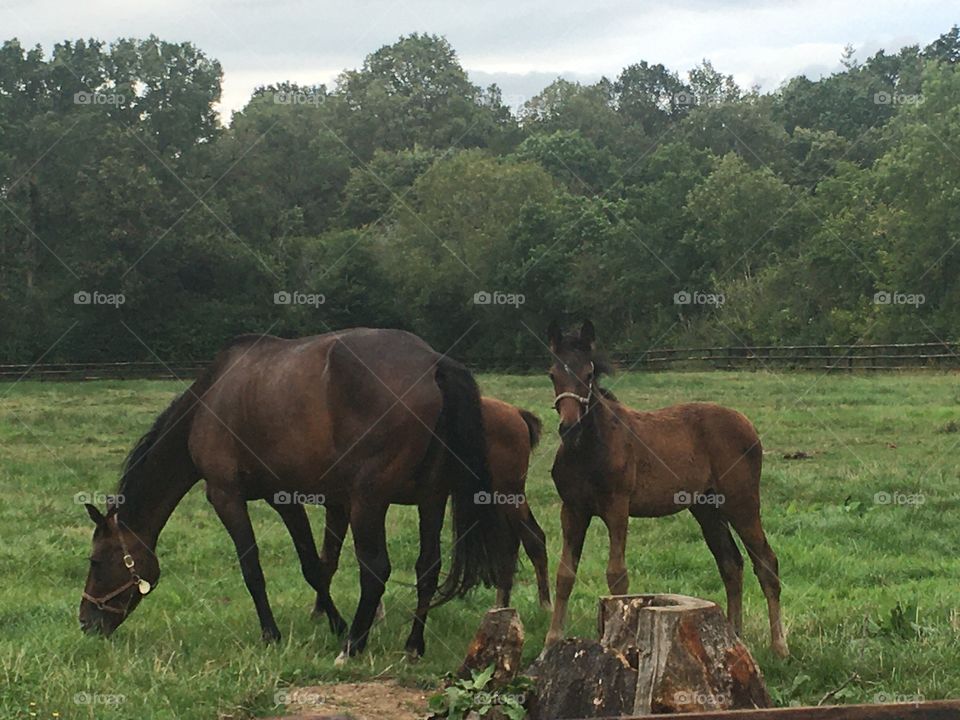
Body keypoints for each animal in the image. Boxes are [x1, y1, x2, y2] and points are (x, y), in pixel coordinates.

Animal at [79, 328, 512, 662]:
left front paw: (272, 634)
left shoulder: (225, 495)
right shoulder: (282, 497)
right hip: (431, 499)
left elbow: (252, 568)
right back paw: (412, 645)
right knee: (427, 567)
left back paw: (353, 647)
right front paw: (334, 622)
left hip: (369, 501)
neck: (211, 397)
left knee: (376, 568)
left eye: (97, 561)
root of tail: (433, 364)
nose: (86, 622)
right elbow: (313, 565)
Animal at [543, 320, 789, 658]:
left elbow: (616, 575)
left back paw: (780, 647)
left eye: (589, 374)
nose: (570, 427)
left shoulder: (617, 507)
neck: (590, 448)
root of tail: (748, 425)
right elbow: (564, 574)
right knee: (731, 564)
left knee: (766, 562)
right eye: (553, 374)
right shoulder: (573, 509)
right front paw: (551, 642)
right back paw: (733, 637)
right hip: (706, 508)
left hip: (742, 503)